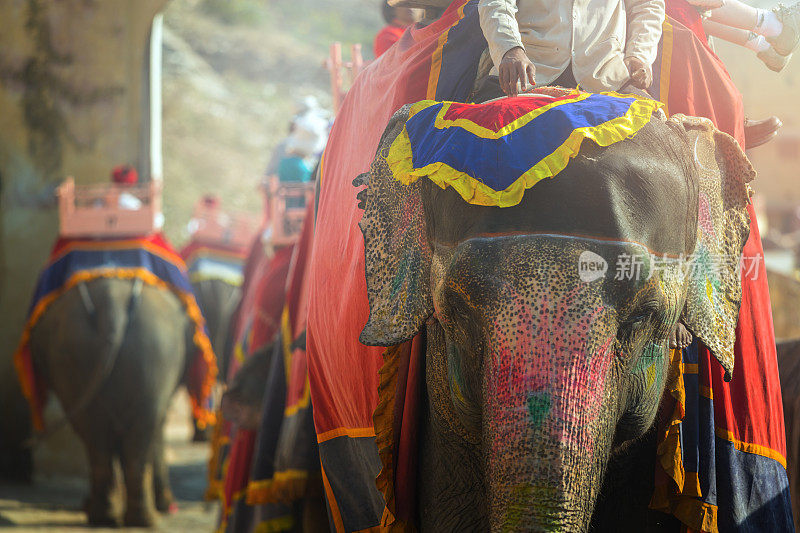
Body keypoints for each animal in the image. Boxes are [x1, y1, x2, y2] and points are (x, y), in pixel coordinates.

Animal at [30, 276, 196, 524]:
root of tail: (112, 303)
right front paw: (165, 505)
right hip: (155, 351)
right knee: (138, 431)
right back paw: (139, 519)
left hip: (79, 353)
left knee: (96, 434)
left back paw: (109, 516)